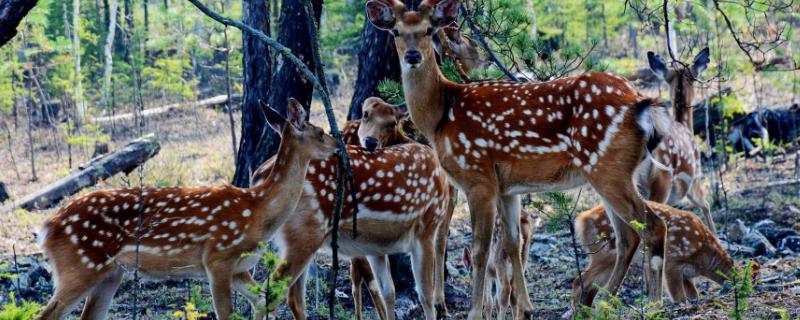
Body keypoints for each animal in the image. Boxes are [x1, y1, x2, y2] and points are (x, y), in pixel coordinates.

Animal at [38, 99, 338, 320]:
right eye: (320, 132)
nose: (338, 147)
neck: (259, 212)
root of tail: (47, 228)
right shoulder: (218, 257)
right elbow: (227, 314)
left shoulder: (240, 267)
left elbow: (263, 301)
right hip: (79, 266)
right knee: (47, 315)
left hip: (110, 273)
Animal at [256, 96, 456, 318]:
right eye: (365, 114)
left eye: (392, 123)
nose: (370, 142)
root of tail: (261, 178)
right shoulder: (426, 226)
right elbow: (424, 294)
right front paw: (438, 306)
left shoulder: (375, 245)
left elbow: (388, 290)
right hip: (305, 233)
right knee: (268, 294)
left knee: (294, 298)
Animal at [368, 0, 676, 316]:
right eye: (396, 31)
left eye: (430, 30)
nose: (412, 56)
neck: (440, 117)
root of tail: (641, 104)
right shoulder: (507, 187)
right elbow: (512, 243)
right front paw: (527, 309)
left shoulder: (478, 176)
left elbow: (480, 250)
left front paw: (476, 312)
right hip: (612, 170)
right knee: (629, 237)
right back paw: (602, 306)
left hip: (606, 166)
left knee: (652, 227)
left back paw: (653, 305)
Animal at [572, 201, 760, 308]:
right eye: (748, 283)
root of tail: (581, 220)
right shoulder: (673, 262)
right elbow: (678, 295)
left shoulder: (687, 274)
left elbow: (694, 294)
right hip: (606, 252)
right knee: (579, 282)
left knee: (586, 285)